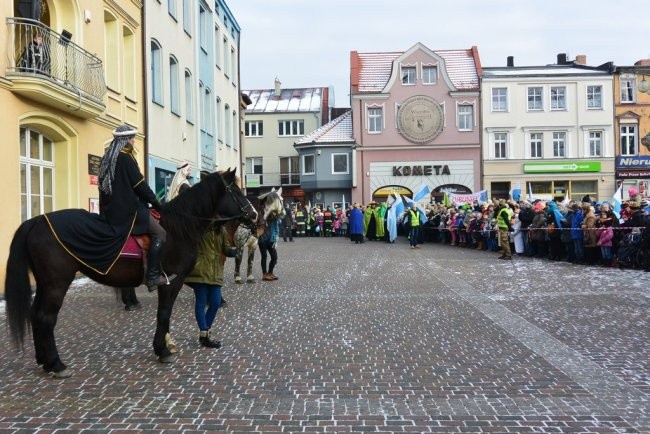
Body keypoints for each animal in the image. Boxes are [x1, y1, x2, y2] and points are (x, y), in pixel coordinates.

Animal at [4, 168, 256, 378]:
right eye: (235, 192)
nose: (253, 215)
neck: (179, 228)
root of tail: (37, 221)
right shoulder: (171, 281)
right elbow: (164, 313)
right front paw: (163, 350)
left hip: (45, 284)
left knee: (35, 314)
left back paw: (44, 361)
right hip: (57, 283)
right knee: (46, 318)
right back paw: (57, 364)